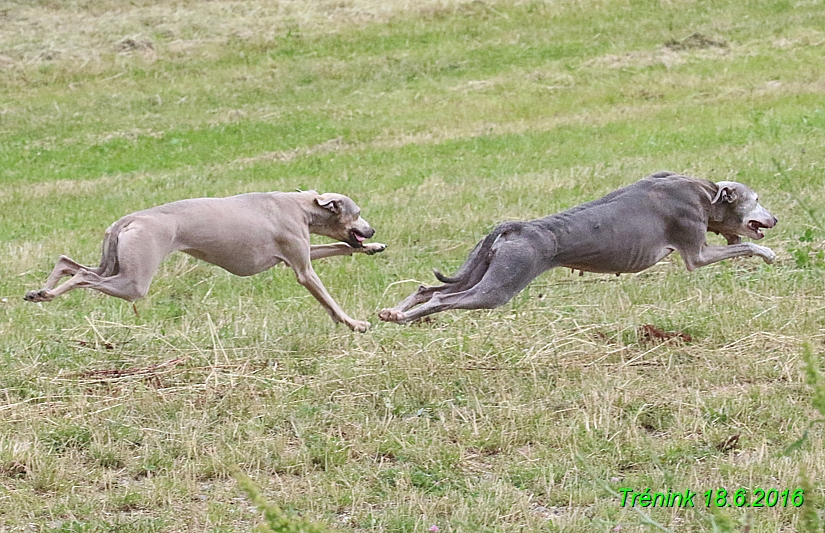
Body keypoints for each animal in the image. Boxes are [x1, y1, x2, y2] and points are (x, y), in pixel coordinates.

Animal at [25, 191, 386, 330]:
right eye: (358, 213)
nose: (372, 230)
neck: (299, 205)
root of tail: (128, 219)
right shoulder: (303, 269)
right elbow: (329, 301)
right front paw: (355, 323)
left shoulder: (299, 255)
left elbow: (342, 247)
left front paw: (372, 248)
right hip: (133, 281)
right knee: (83, 278)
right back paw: (48, 293)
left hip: (114, 265)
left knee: (69, 263)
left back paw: (40, 292)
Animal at [380, 171, 780, 324]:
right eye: (756, 199)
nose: (774, 219)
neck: (702, 192)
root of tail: (515, 228)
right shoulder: (696, 254)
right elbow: (744, 249)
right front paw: (769, 255)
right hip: (499, 286)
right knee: (441, 299)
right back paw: (403, 317)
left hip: (480, 270)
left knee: (427, 288)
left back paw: (391, 312)